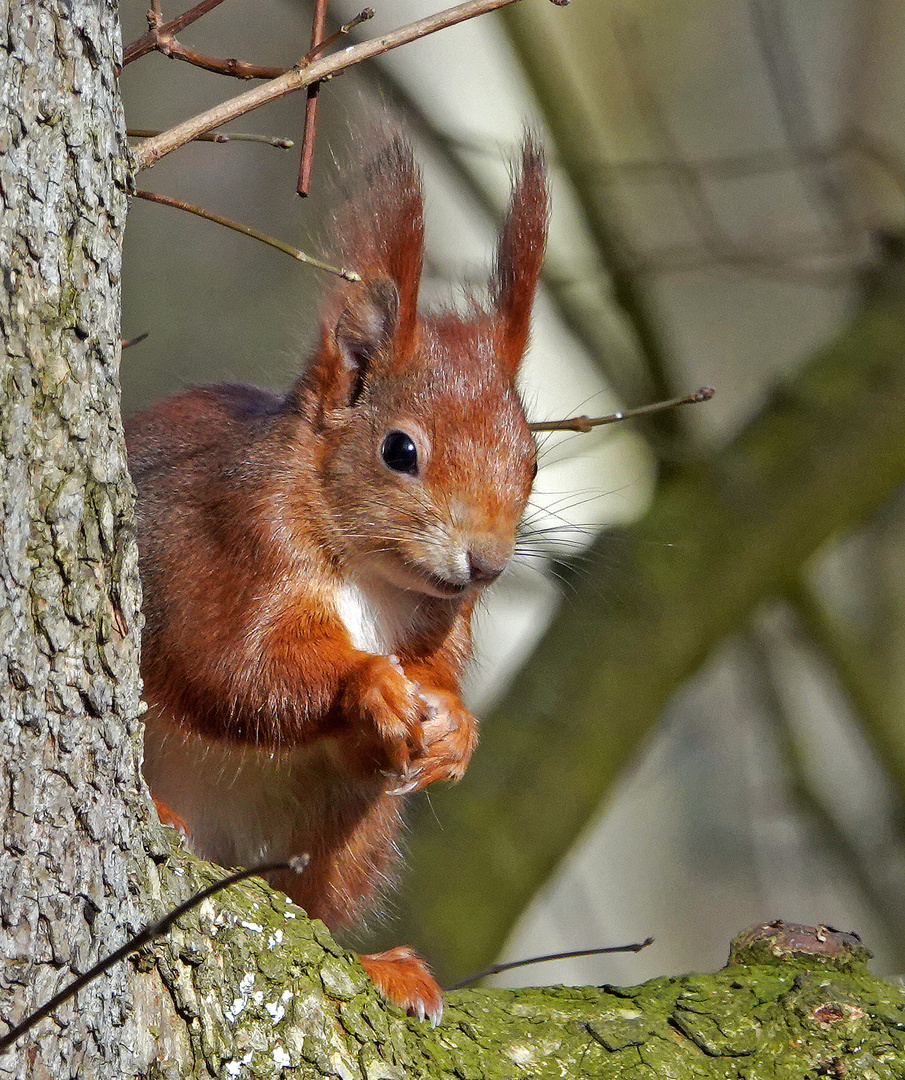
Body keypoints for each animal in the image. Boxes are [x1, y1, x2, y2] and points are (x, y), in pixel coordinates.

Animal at [127, 132, 548, 1019]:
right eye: (399, 450)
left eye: (532, 460)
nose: (485, 564)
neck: (375, 577)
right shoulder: (233, 543)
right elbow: (233, 671)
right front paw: (369, 684)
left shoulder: (440, 626)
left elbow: (423, 690)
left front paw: (454, 730)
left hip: (344, 837)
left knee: (309, 911)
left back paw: (382, 967)